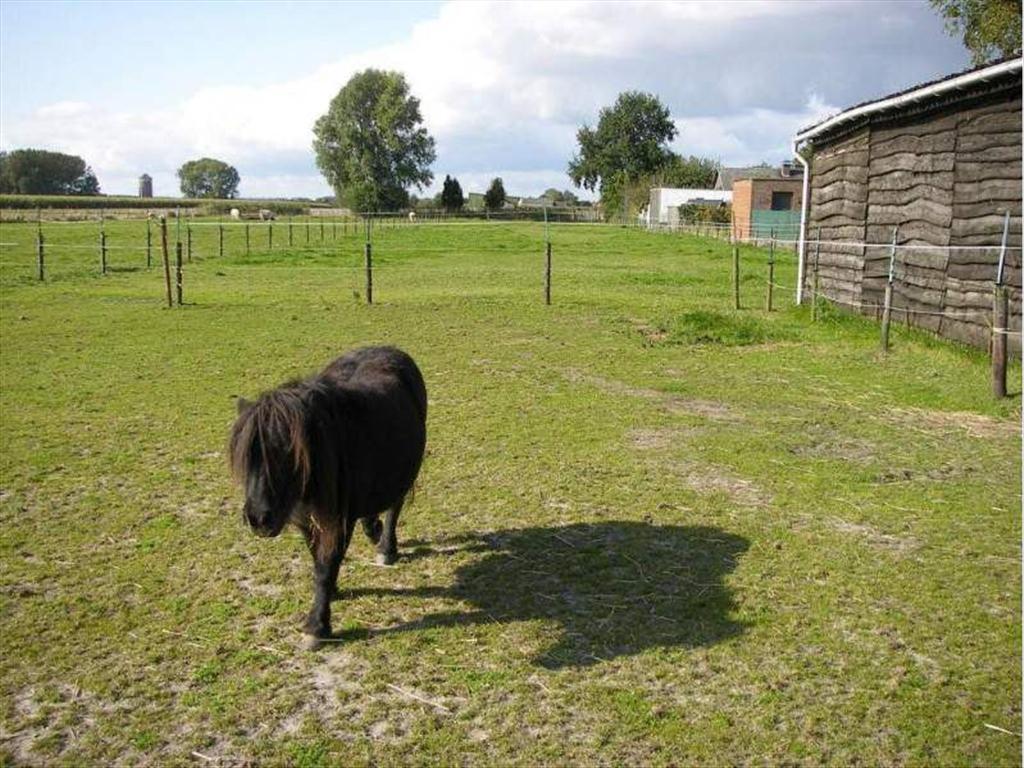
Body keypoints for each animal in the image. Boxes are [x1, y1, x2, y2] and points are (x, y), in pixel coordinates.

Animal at [230, 346, 425, 647]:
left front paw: (317, 626)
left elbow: (326, 563)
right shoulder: (307, 518)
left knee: (394, 508)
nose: (259, 518)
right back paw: (374, 529)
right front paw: (330, 592)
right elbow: (317, 558)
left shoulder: (338, 519)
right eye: (246, 458)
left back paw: (386, 548)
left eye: (288, 453)